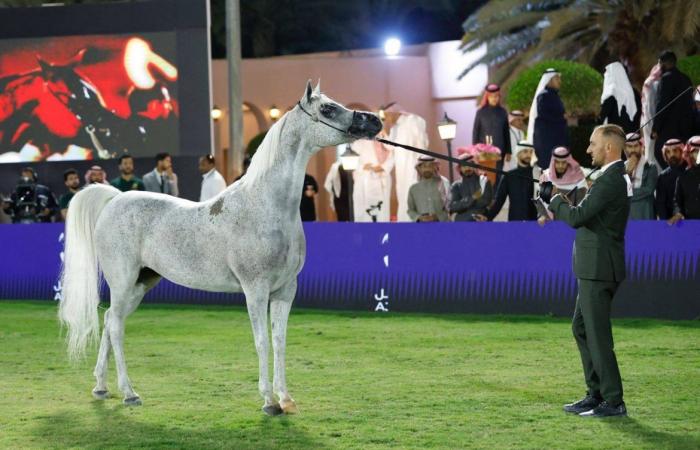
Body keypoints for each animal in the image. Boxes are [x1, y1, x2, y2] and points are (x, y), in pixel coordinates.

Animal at [58, 81, 382, 414]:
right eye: (327, 109)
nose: (374, 121)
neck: (265, 205)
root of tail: (114, 199)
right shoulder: (256, 289)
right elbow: (262, 341)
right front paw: (269, 401)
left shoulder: (285, 290)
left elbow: (279, 341)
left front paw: (286, 399)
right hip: (122, 282)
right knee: (116, 327)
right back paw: (129, 392)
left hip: (141, 283)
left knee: (111, 320)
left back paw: (101, 387)